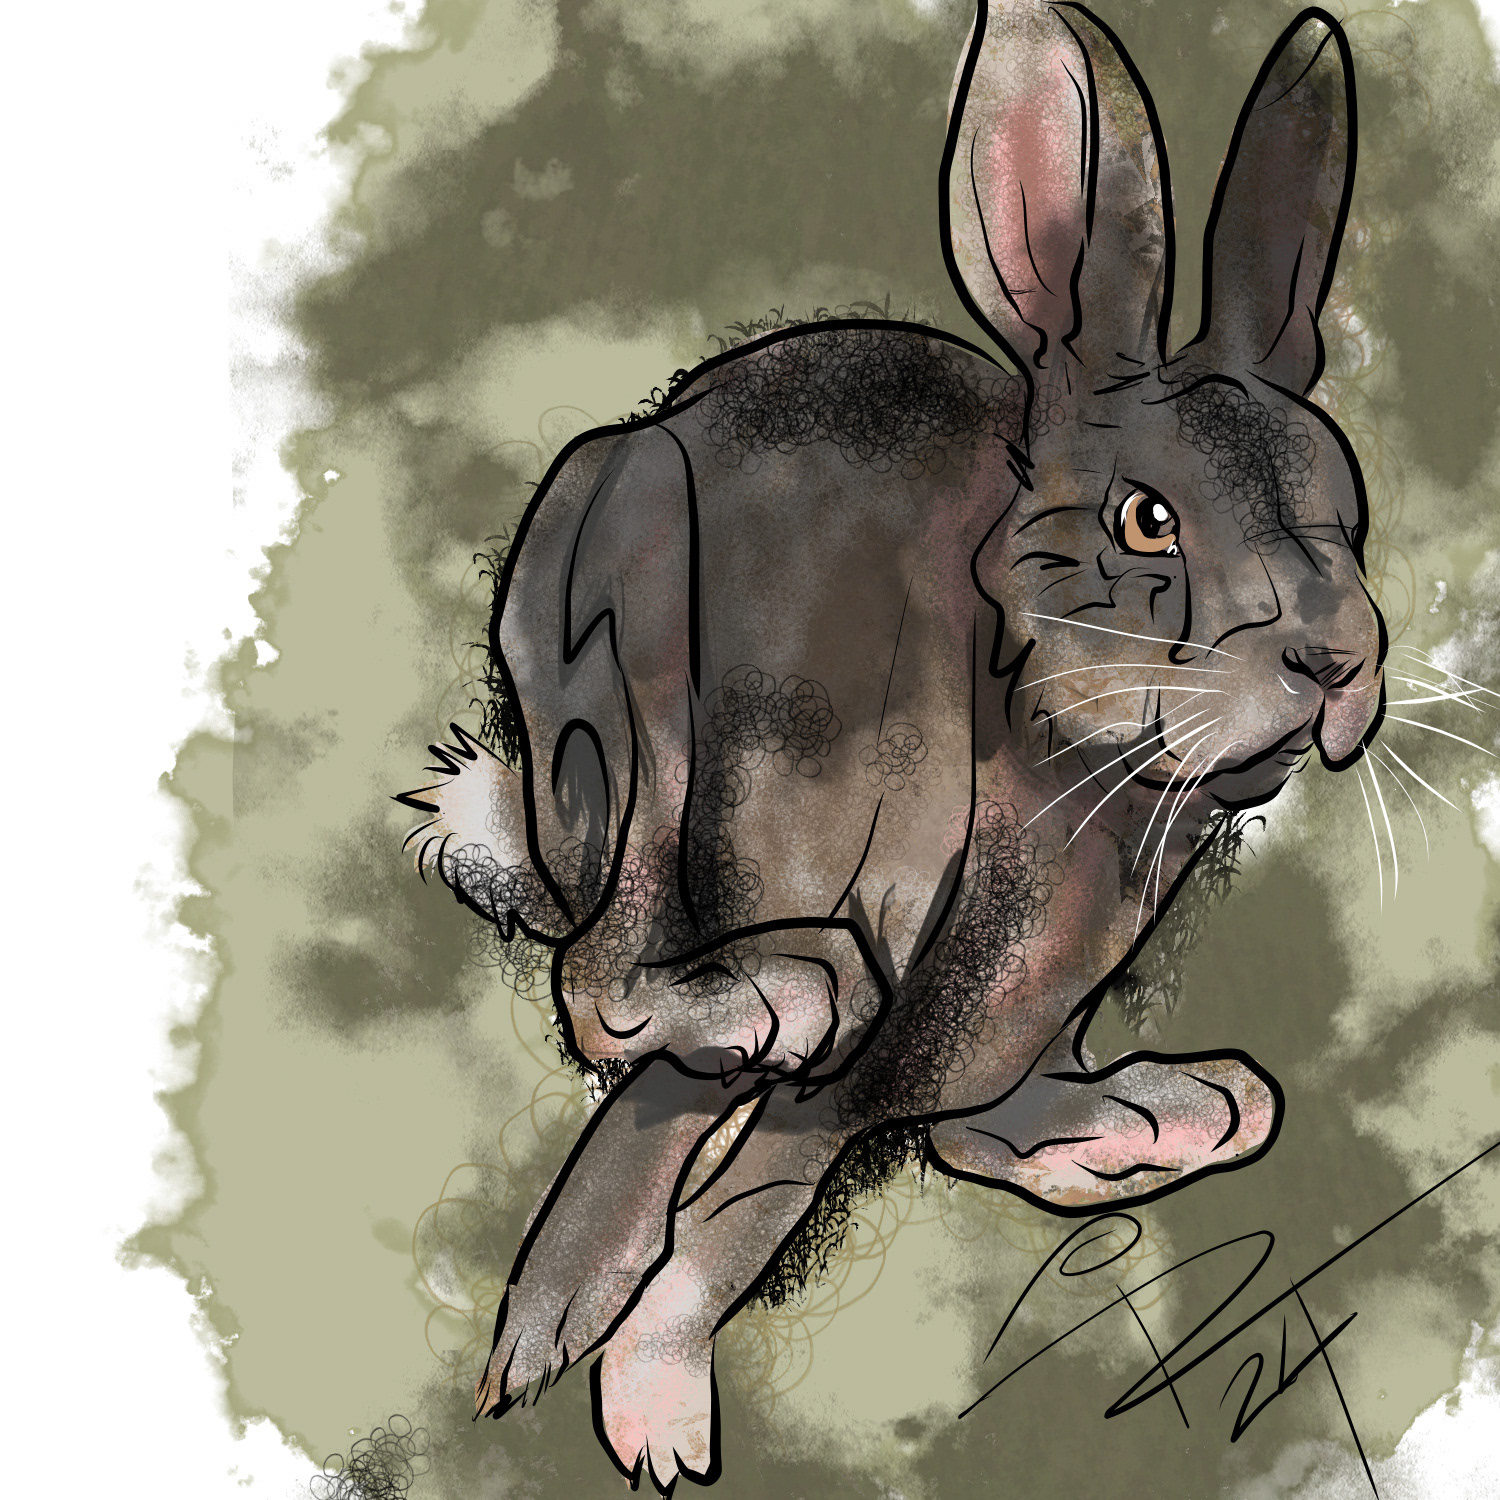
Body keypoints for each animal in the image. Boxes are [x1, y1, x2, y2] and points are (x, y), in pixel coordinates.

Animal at [399, 2, 1385, 1490]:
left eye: (1349, 508)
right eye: (1147, 520)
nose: (1341, 661)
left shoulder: (1002, 1031)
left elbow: (1018, 1119)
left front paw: (1163, 1118)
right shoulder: (867, 1060)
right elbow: (731, 1227)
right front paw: (655, 1420)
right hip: (624, 653)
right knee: (603, 979)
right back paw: (775, 996)